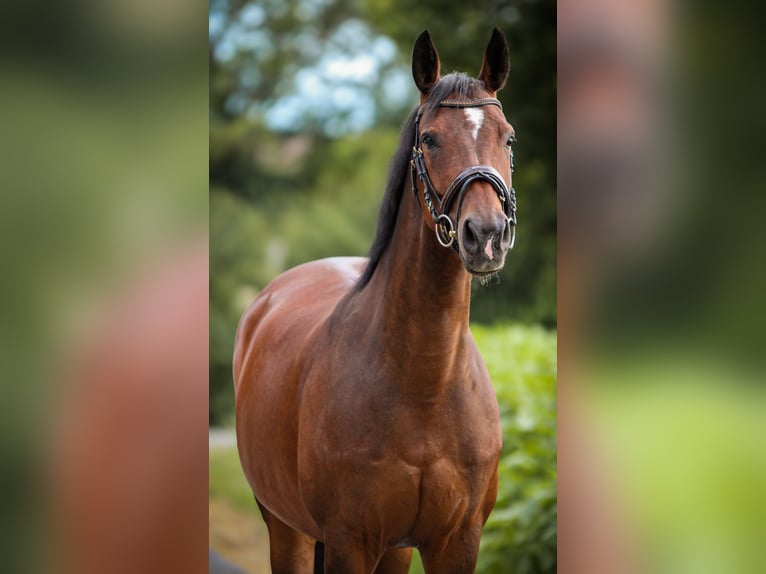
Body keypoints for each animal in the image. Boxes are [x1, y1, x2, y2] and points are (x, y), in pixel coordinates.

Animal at [234, 28, 520, 574]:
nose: (486, 236)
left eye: (507, 137)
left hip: (395, 549)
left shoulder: (456, 542)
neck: (423, 385)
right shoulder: (350, 541)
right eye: (429, 139)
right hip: (285, 528)